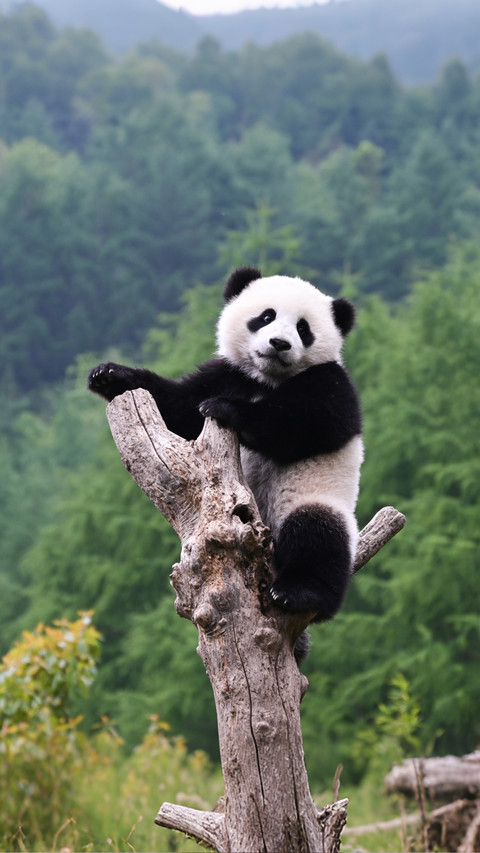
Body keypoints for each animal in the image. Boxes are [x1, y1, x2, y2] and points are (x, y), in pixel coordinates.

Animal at [88, 266, 363, 632]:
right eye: (266, 316)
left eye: (303, 329)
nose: (280, 344)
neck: (266, 380)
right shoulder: (226, 374)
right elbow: (177, 407)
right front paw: (110, 375)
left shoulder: (330, 381)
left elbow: (316, 422)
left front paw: (225, 408)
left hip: (316, 497)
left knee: (317, 534)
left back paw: (299, 593)